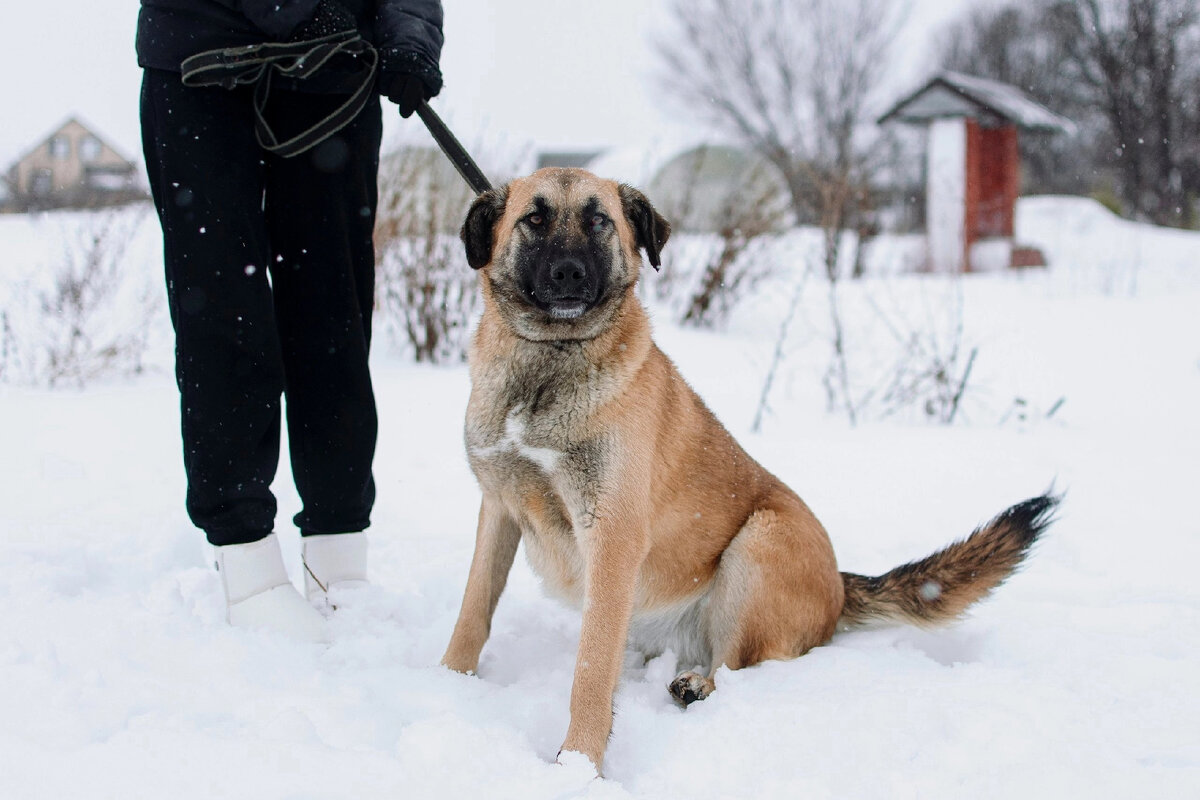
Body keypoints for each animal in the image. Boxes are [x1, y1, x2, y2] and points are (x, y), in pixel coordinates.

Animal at [441, 169, 1060, 777]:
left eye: (599, 221)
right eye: (534, 218)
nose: (569, 272)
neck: (548, 362)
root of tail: (841, 586)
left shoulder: (612, 535)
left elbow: (591, 671)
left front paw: (578, 765)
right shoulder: (498, 511)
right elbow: (474, 609)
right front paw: (449, 681)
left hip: (759, 540)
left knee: (739, 667)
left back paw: (697, 686)